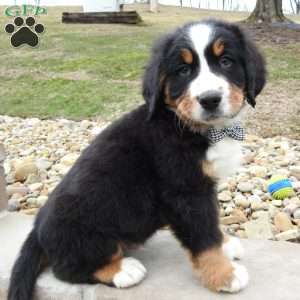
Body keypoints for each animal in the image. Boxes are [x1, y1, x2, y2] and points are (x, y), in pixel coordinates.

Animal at [7, 19, 264, 300]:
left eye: (226, 61)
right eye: (183, 70)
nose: (209, 99)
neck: (190, 127)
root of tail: (36, 229)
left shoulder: (204, 186)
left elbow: (212, 223)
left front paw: (225, 246)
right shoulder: (185, 192)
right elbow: (203, 235)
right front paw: (224, 275)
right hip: (83, 230)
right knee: (66, 269)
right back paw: (123, 270)